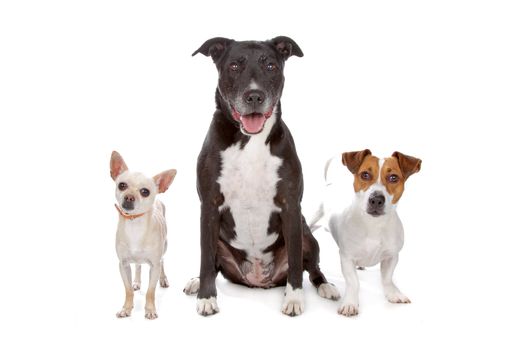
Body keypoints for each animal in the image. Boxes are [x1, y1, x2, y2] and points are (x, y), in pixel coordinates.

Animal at [109, 150, 177, 320]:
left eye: (145, 192)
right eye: (122, 185)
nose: (129, 197)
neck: (134, 225)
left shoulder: (154, 266)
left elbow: (150, 292)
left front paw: (150, 310)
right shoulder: (123, 265)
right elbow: (127, 290)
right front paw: (126, 308)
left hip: (164, 248)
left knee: (163, 261)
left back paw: (163, 279)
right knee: (138, 265)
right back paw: (137, 282)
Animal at [184, 37, 340, 316]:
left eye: (270, 66)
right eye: (234, 66)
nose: (254, 95)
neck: (250, 141)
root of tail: (258, 279)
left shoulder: (291, 206)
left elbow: (297, 265)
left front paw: (294, 298)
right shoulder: (209, 206)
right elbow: (205, 260)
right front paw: (206, 298)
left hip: (306, 235)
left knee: (312, 268)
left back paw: (326, 286)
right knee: (211, 262)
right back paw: (195, 282)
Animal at [310, 149, 420, 316]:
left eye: (393, 177)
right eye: (365, 175)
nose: (376, 199)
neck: (373, 225)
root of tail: (329, 184)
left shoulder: (392, 256)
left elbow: (387, 278)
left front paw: (394, 294)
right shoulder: (346, 258)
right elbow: (353, 282)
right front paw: (350, 303)